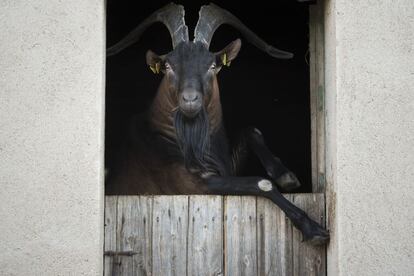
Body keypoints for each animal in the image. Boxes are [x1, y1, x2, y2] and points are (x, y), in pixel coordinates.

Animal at [106, 2, 330, 244]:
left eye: (212, 66)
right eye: (168, 67)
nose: (190, 100)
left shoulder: (226, 168)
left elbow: (252, 130)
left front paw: (286, 175)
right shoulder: (191, 183)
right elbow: (261, 183)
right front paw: (314, 229)